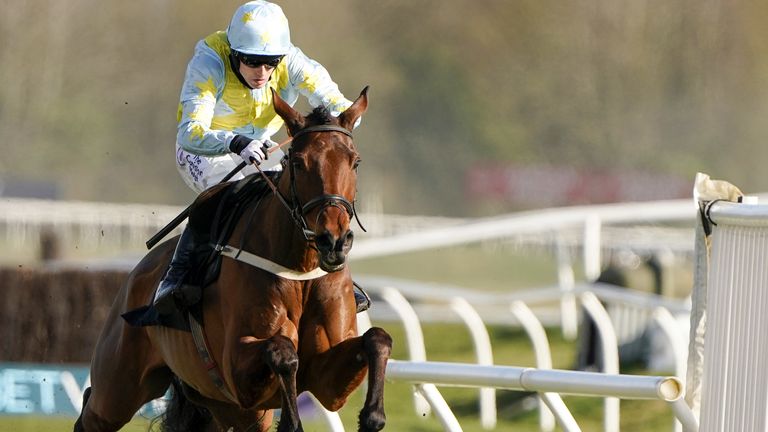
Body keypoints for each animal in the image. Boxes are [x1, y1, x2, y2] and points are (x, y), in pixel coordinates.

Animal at [74, 88, 392, 432]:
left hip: (223, 407)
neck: (299, 270)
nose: (332, 241)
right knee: (90, 413)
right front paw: (292, 420)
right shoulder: (236, 372)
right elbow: (283, 352)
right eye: (298, 161)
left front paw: (372, 417)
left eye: (355, 161)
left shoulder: (326, 379)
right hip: (117, 389)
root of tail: (134, 275)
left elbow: (378, 339)